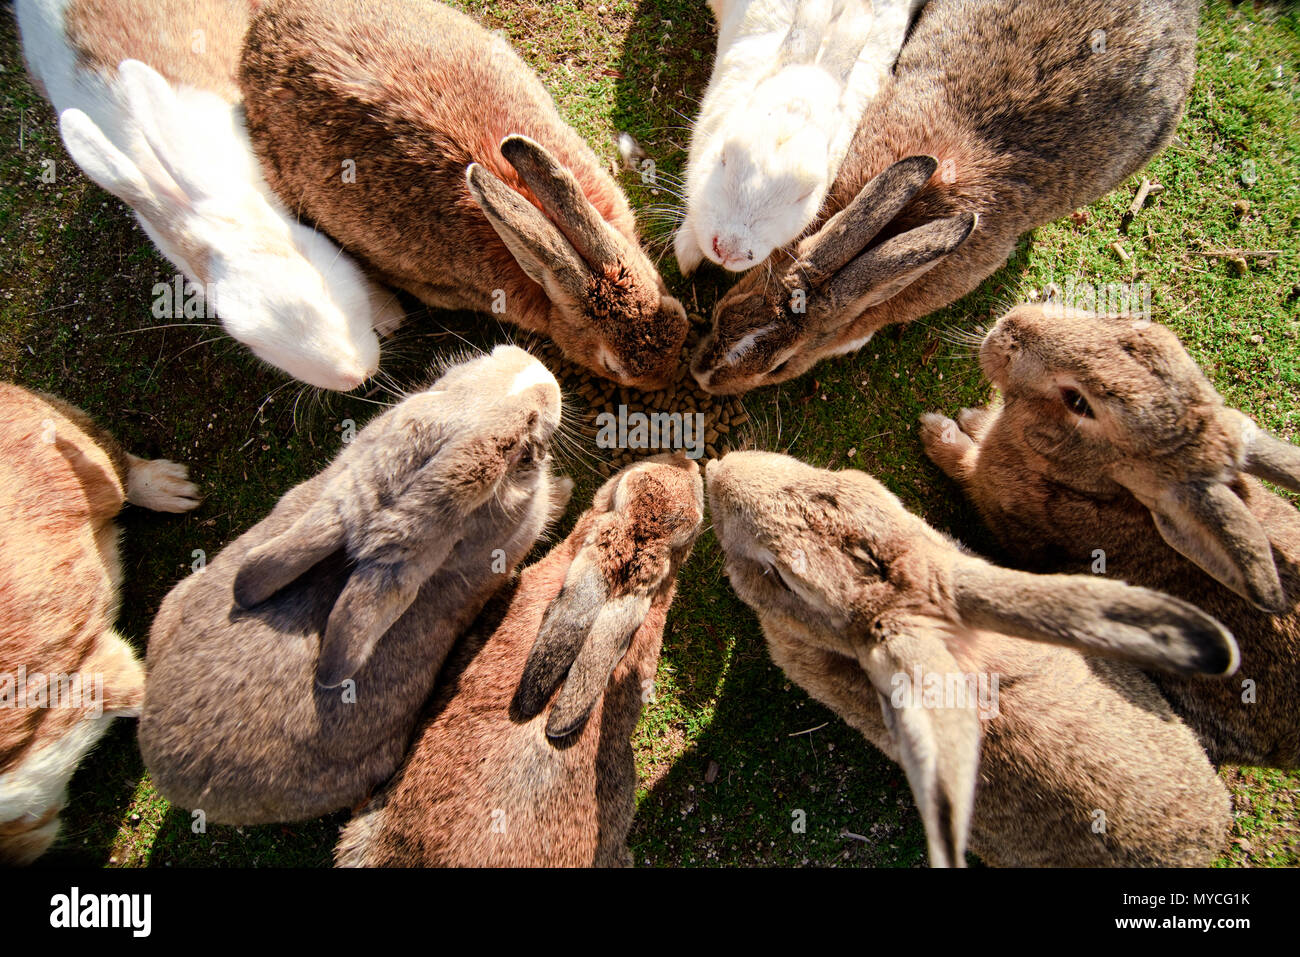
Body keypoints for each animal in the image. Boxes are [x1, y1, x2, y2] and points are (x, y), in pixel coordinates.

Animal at [921, 303, 1300, 770]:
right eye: (1131, 325)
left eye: (1078, 402)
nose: (1014, 324)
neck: (1096, 482)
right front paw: (974, 418)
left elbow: (963, 465)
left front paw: (937, 431)